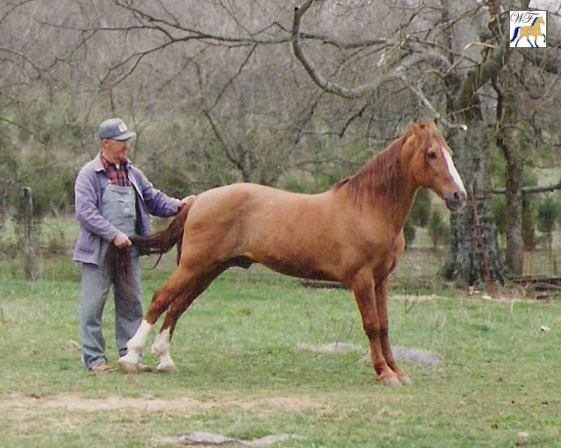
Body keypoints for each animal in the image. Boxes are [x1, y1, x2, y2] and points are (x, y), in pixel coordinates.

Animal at [119, 121, 468, 386]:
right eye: (432, 154)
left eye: (451, 153)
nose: (459, 196)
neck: (368, 207)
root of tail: (198, 199)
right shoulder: (362, 280)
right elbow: (371, 325)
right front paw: (384, 373)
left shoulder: (381, 280)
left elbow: (384, 326)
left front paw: (397, 371)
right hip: (194, 266)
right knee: (161, 298)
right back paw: (132, 356)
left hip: (208, 270)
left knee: (178, 305)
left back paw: (164, 359)